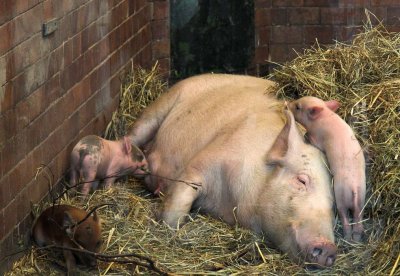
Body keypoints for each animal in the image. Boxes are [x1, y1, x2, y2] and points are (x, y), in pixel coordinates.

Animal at [288, 96, 366, 242]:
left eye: (298, 107)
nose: (288, 104)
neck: (321, 119)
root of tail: (353, 188)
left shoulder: (318, 139)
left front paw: (306, 136)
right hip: (361, 197)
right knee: (358, 216)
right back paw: (356, 238)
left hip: (340, 196)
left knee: (344, 215)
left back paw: (347, 237)